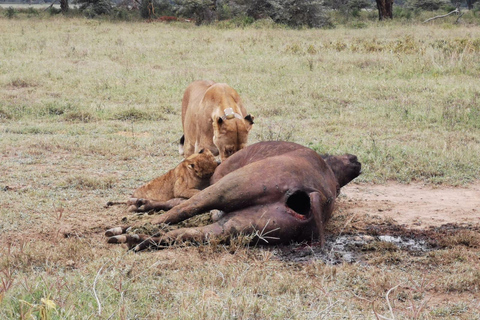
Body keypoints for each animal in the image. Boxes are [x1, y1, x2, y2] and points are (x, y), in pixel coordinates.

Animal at [106, 142, 360, 250]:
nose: (355, 159)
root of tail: (312, 194)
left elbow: (178, 202)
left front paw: (138, 204)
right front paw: (139, 203)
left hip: (228, 188)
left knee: (181, 212)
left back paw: (127, 231)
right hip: (242, 227)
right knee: (184, 233)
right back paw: (134, 238)